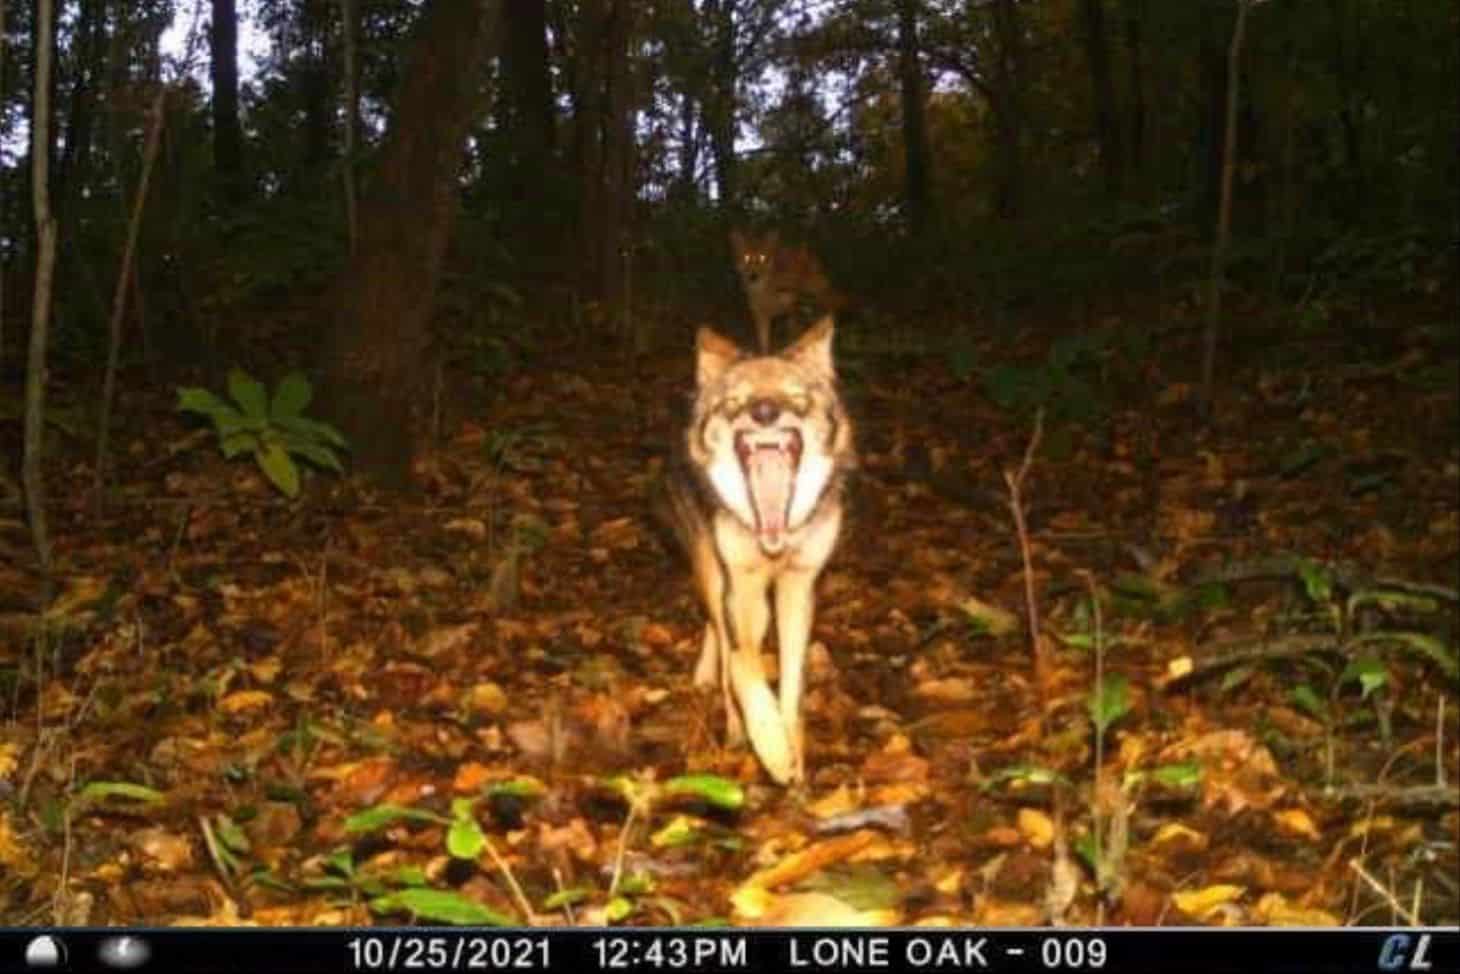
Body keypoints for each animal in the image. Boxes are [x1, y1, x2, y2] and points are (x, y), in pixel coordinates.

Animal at [660, 316, 855, 784]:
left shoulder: (798, 588)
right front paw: (771, 749)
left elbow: (792, 684)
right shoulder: (742, 588)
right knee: (721, 639)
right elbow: (743, 669)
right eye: (737, 401)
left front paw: (793, 755)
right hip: (713, 572)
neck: (775, 536)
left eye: (795, 396)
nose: (764, 412)